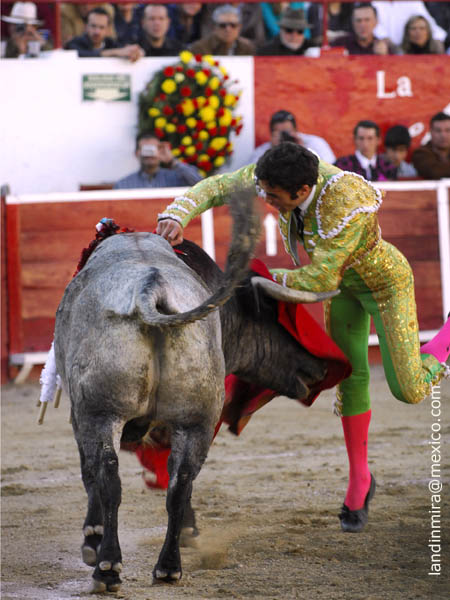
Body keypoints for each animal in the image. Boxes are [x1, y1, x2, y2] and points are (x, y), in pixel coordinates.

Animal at [53, 191, 338, 592]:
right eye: (272, 314)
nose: (319, 368)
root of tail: (151, 287)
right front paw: (189, 531)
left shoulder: (81, 415)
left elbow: (91, 473)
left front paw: (91, 541)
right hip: (195, 419)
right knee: (181, 480)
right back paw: (168, 566)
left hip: (102, 413)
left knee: (109, 477)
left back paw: (108, 566)